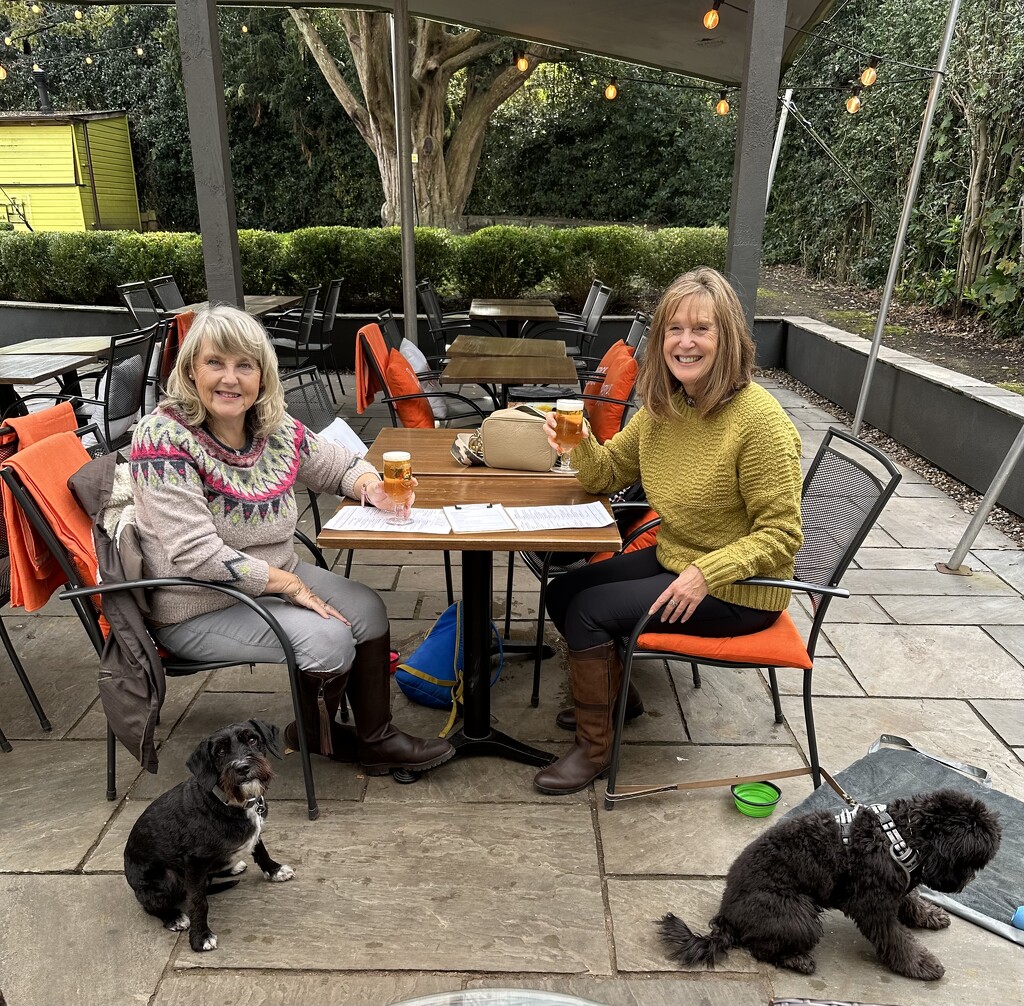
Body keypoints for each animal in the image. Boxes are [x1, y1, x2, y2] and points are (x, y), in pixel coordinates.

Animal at [123, 721, 294, 950]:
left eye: (252, 739)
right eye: (220, 751)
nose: (242, 767)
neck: (229, 802)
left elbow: (261, 850)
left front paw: (275, 870)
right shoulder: (194, 862)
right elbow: (198, 902)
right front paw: (200, 937)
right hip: (164, 878)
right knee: (151, 906)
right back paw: (173, 917)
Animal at [655, 790, 999, 979]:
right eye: (970, 864)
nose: (965, 884)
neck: (898, 836)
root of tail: (725, 917)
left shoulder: (894, 885)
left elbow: (910, 898)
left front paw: (929, 914)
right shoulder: (873, 905)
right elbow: (897, 940)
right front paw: (920, 965)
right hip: (798, 913)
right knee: (761, 948)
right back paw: (797, 960)